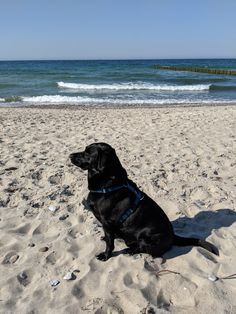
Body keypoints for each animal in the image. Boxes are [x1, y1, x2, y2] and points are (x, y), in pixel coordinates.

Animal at [69, 142, 218, 260]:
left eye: (88, 153)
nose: (70, 155)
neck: (108, 185)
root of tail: (173, 236)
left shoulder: (107, 222)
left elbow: (110, 244)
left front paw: (106, 255)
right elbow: (109, 237)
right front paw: (106, 238)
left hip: (147, 238)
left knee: (143, 249)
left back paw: (130, 250)